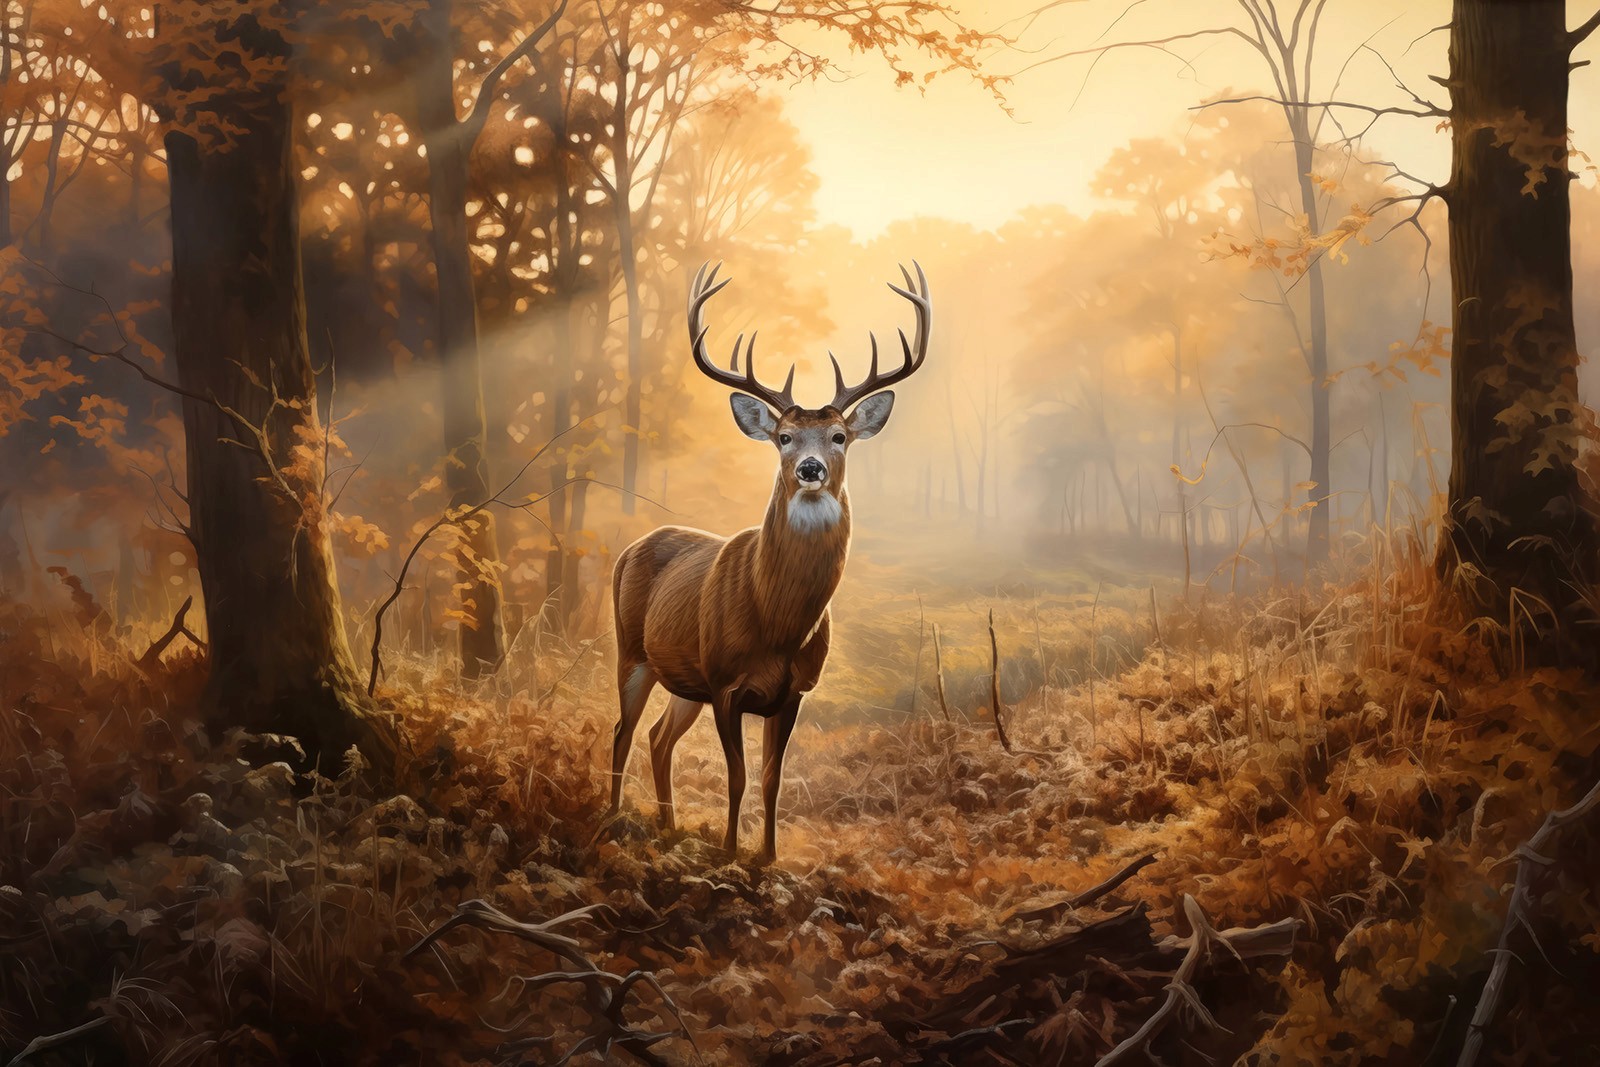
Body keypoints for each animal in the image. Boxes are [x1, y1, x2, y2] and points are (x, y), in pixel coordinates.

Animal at [606, 261, 931, 864]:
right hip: (633, 651)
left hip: (682, 678)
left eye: (839, 436)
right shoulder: (725, 682)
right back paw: (613, 814)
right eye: (783, 436)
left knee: (658, 737)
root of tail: (628, 550)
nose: (809, 468)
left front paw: (768, 855)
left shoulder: (793, 691)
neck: (776, 623)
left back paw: (667, 825)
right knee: (621, 730)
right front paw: (730, 851)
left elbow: (770, 778)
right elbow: (735, 775)